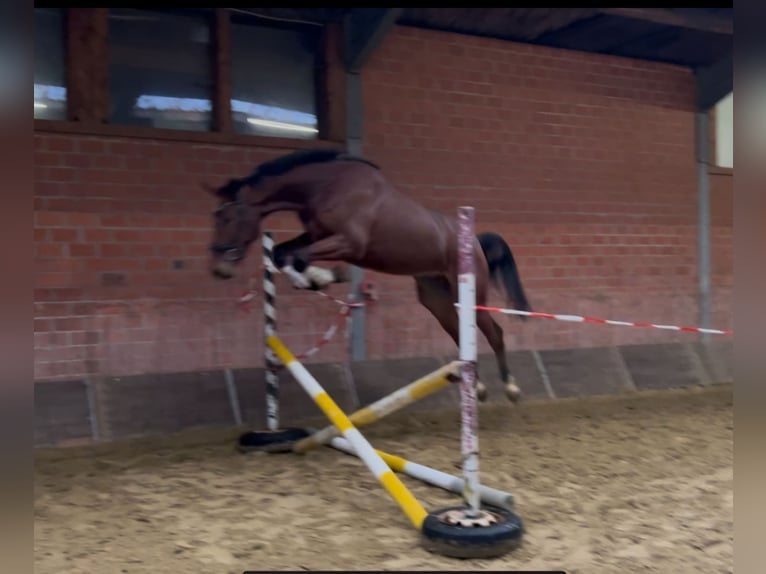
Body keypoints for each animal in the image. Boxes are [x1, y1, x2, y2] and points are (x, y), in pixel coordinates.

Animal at [205, 148, 532, 403]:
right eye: (217, 217)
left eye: (228, 217)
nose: (219, 269)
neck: (326, 185)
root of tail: (474, 241)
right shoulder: (316, 235)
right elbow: (282, 253)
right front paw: (314, 279)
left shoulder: (348, 242)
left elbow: (298, 257)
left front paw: (319, 278)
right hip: (437, 299)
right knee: (461, 333)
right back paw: (478, 387)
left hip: (471, 293)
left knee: (494, 332)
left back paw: (511, 388)